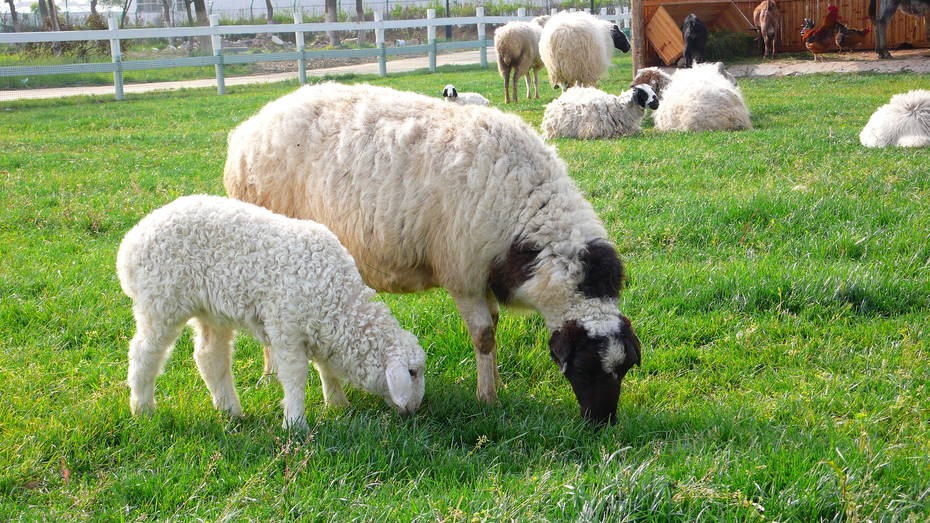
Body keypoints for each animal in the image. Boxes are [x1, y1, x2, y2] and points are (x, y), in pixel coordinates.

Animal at [117, 194, 426, 431]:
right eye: (411, 373)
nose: (415, 409)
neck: (338, 298)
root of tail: (130, 242)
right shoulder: (286, 327)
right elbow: (295, 375)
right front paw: (295, 423)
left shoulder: (318, 329)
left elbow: (326, 368)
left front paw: (337, 402)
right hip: (160, 302)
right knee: (144, 353)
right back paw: (143, 408)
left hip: (210, 311)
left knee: (209, 357)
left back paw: (230, 410)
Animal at [224, 82, 641, 424]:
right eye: (584, 369)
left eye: (623, 371)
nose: (602, 423)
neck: (529, 210)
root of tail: (248, 129)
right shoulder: (463, 272)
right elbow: (484, 335)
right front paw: (487, 398)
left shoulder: (483, 274)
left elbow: (493, 327)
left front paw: (496, 381)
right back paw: (269, 373)